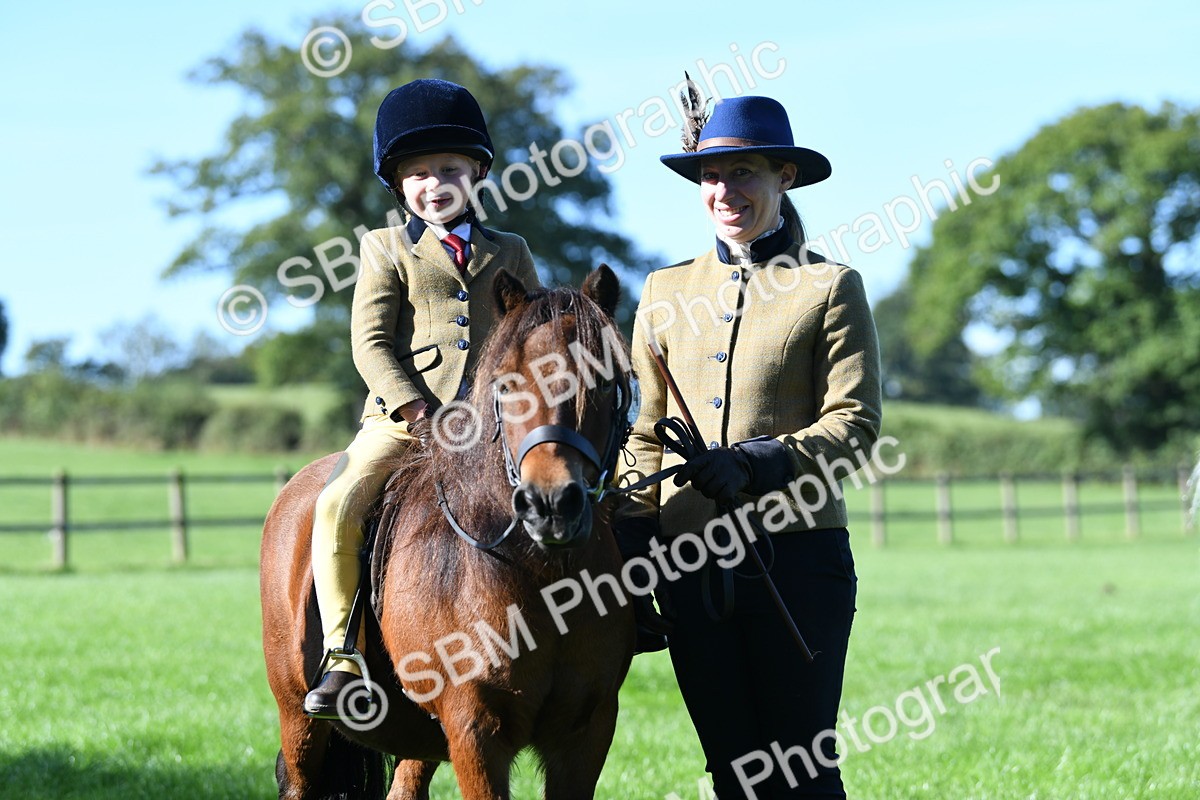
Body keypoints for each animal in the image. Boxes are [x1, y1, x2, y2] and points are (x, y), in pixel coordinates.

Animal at [260, 265, 637, 799]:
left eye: (604, 382)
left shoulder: (587, 731)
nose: (551, 505)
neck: (541, 573)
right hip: (299, 720)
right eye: (507, 385)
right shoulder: (473, 728)